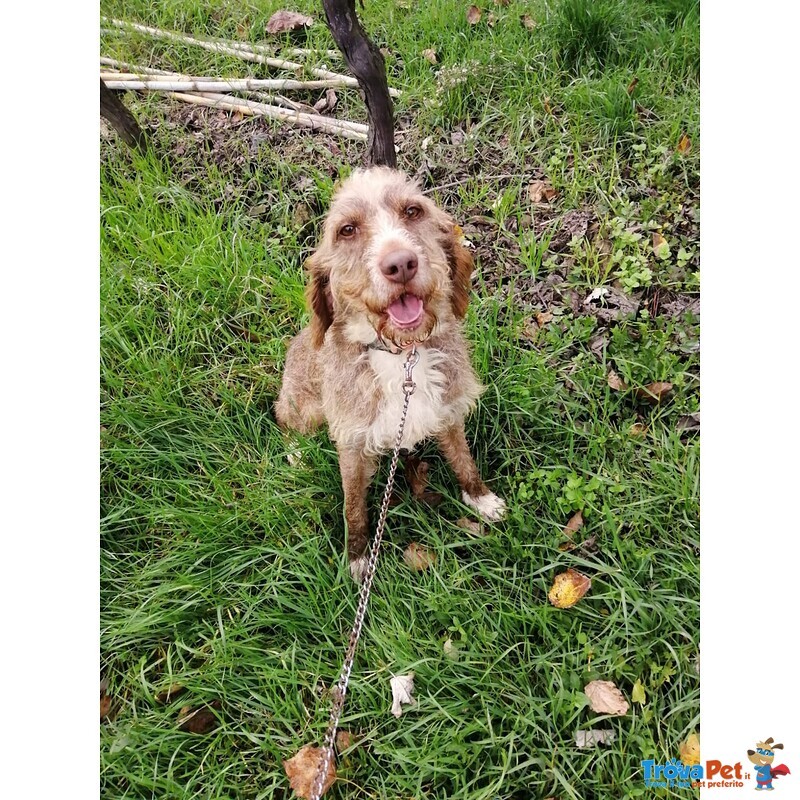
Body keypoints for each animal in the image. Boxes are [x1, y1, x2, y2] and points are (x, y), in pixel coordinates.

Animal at [276, 169, 506, 580]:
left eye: (413, 211)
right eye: (347, 230)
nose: (400, 264)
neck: (402, 355)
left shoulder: (446, 411)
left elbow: (463, 460)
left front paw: (480, 498)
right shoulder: (351, 442)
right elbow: (353, 504)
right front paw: (357, 557)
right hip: (305, 405)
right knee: (284, 417)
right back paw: (296, 454)